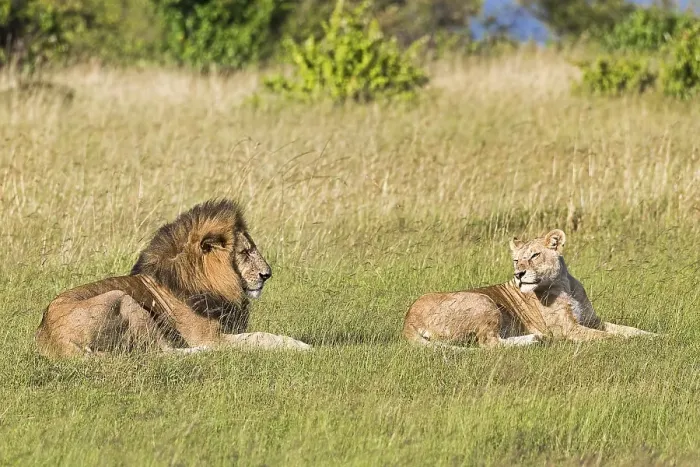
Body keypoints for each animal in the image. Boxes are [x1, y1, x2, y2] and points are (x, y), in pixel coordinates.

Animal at [35, 198, 312, 358]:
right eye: (244, 252)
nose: (268, 274)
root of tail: (53, 339)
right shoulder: (210, 336)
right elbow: (260, 337)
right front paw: (300, 346)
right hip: (123, 298)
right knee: (162, 353)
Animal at [403, 229, 657, 350]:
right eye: (517, 260)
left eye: (534, 256)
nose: (518, 274)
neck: (564, 284)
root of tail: (408, 319)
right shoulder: (568, 329)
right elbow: (610, 337)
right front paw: (631, 344)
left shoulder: (593, 320)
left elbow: (629, 329)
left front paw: (656, 336)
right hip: (483, 301)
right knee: (489, 343)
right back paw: (535, 339)